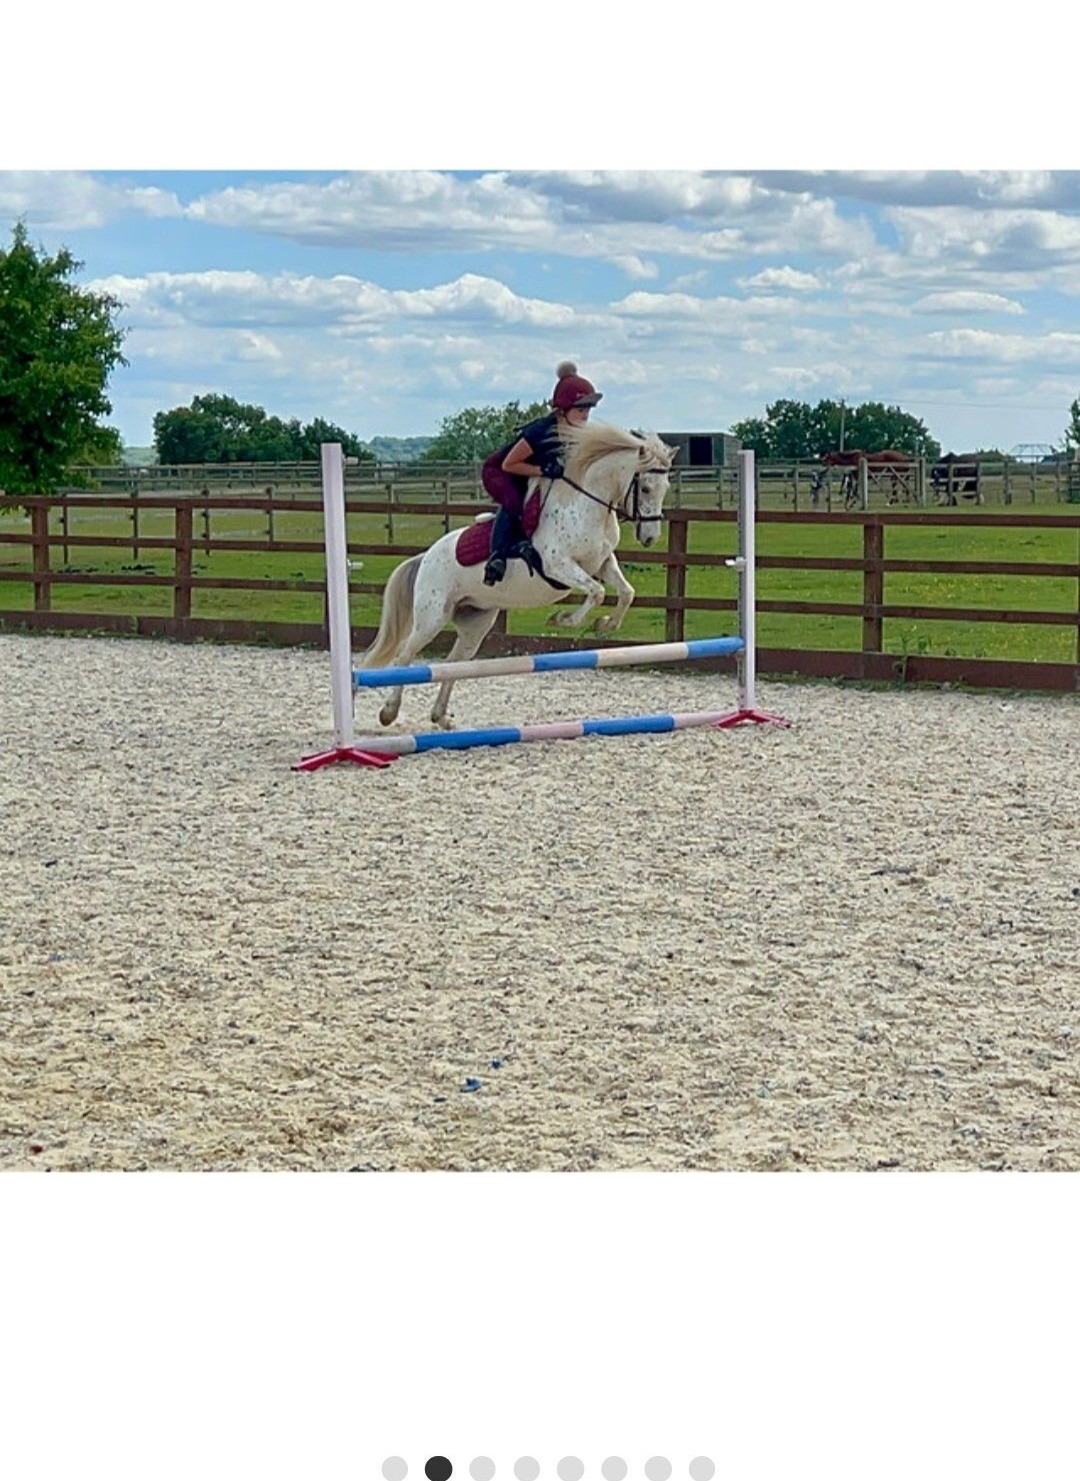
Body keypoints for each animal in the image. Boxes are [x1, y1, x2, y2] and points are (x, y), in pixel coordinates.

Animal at [357, 421, 677, 729]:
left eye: (666, 487)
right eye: (645, 488)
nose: (650, 538)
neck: (587, 505)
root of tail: (425, 557)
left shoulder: (601, 564)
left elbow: (626, 593)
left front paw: (605, 625)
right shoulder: (558, 564)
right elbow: (597, 593)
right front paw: (563, 619)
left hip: (476, 622)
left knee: (452, 663)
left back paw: (441, 716)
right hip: (432, 617)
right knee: (404, 655)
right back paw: (388, 713)